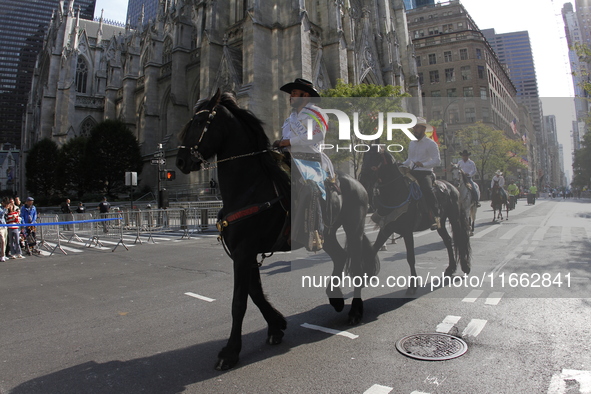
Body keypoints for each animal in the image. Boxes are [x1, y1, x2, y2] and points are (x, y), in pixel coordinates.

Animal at [177, 91, 380, 370]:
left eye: (200, 122)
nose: (180, 161)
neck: (248, 187)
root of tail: (356, 182)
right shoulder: (245, 253)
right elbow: (255, 293)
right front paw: (276, 325)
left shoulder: (244, 251)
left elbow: (239, 302)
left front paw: (230, 352)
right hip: (325, 233)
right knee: (340, 257)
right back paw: (335, 297)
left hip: (354, 228)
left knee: (356, 267)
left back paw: (355, 311)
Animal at [372, 155, 474, 294]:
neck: (397, 194)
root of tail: (452, 187)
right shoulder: (386, 229)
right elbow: (373, 249)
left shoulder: (407, 231)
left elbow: (410, 257)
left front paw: (413, 285)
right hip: (440, 223)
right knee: (448, 240)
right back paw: (451, 268)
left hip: (454, 218)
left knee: (460, 238)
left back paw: (465, 266)